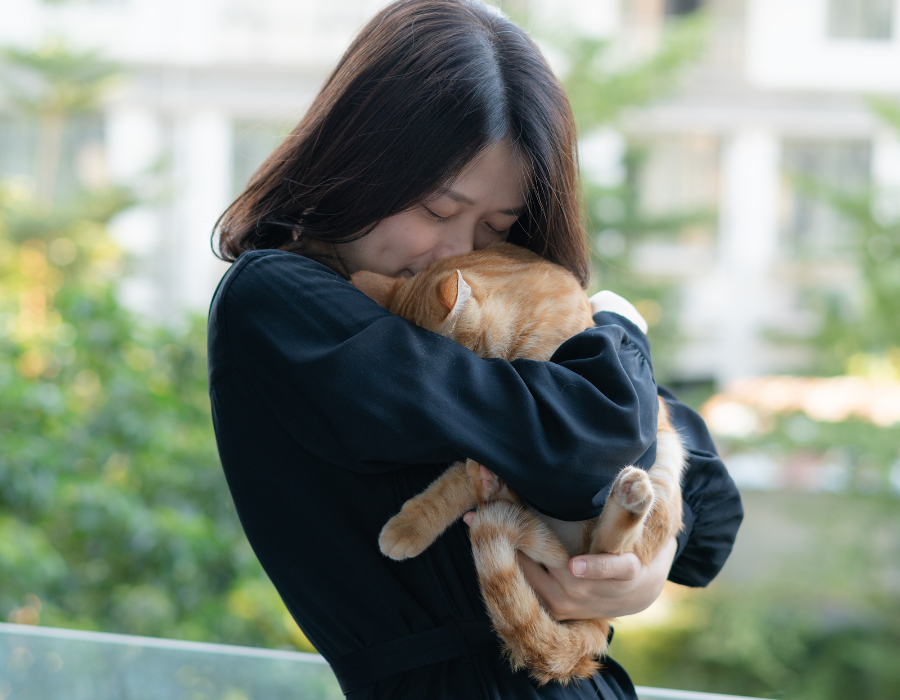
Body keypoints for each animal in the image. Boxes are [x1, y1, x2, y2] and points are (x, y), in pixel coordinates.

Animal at [350, 243, 684, 688]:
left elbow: (453, 481)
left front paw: (408, 526)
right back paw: (494, 485)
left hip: (663, 466)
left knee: (601, 551)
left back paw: (628, 498)